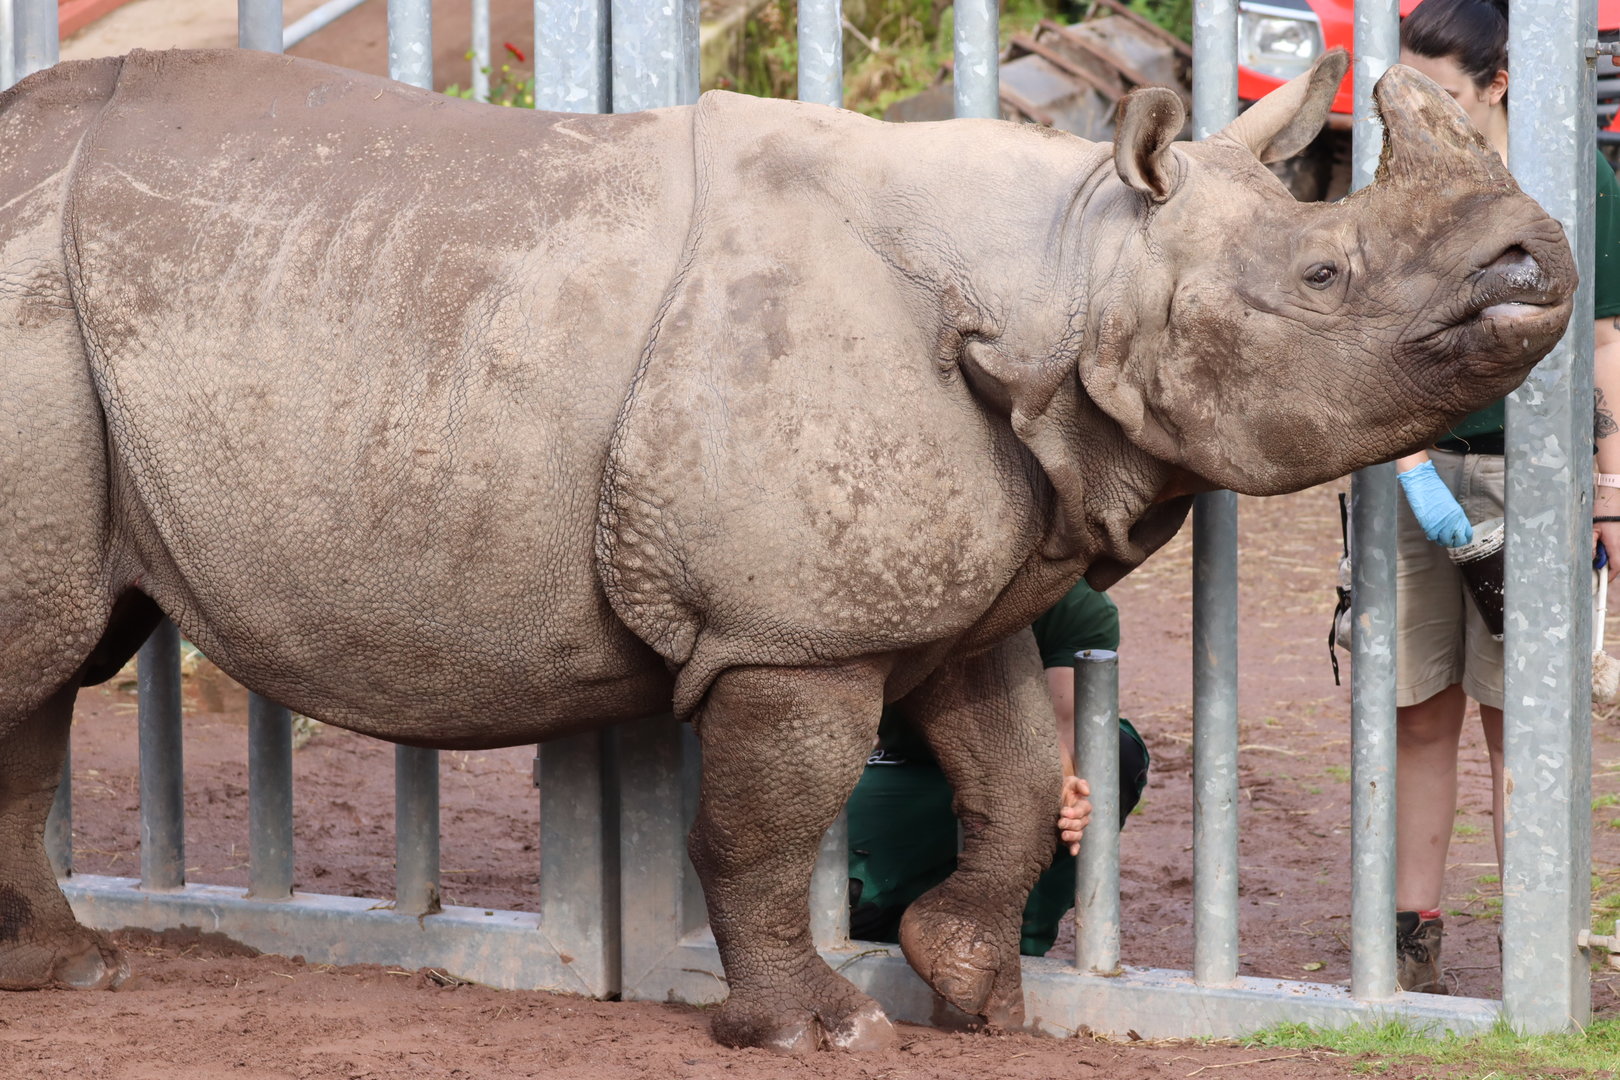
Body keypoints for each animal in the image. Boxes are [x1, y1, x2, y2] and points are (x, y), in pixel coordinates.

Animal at [0, 44, 1574, 1051]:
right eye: (1324, 275)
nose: (1541, 265)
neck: (1075, 263)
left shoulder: (941, 597)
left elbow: (1013, 776)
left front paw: (971, 990)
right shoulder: (795, 631)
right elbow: (767, 826)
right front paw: (823, 1030)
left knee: (46, 674)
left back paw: (70, 974)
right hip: (34, 307)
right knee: (40, 660)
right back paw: (77, 976)